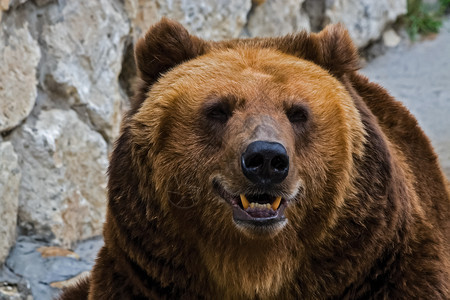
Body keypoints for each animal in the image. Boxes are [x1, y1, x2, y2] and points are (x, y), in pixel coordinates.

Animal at [59, 18, 450, 300]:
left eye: (297, 112)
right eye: (218, 110)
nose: (265, 158)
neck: (258, 267)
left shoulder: (381, 268)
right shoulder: (141, 275)